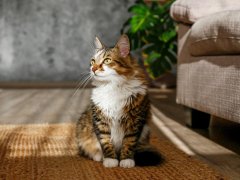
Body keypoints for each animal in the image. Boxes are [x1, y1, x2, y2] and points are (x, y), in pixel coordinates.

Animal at [76, 34, 160, 168]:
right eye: (93, 61)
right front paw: (110, 160)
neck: (112, 87)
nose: (93, 68)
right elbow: (105, 142)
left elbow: (129, 142)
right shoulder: (100, 120)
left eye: (107, 60)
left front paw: (126, 160)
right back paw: (98, 156)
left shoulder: (135, 121)